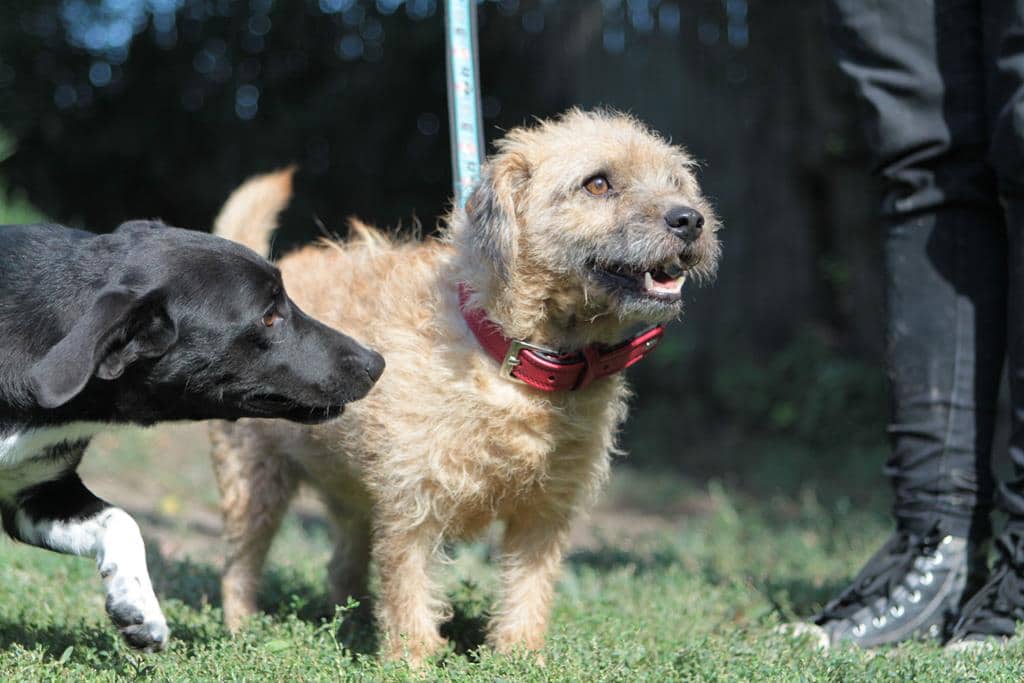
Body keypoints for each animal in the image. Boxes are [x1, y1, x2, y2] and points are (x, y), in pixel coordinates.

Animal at [207, 111, 720, 663]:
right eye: (598, 183)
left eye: (676, 181)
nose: (690, 219)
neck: (511, 357)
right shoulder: (412, 503)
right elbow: (409, 588)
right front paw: (411, 662)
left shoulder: (544, 514)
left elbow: (527, 590)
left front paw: (521, 658)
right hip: (255, 482)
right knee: (239, 565)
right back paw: (244, 631)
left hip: (352, 493)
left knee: (342, 563)